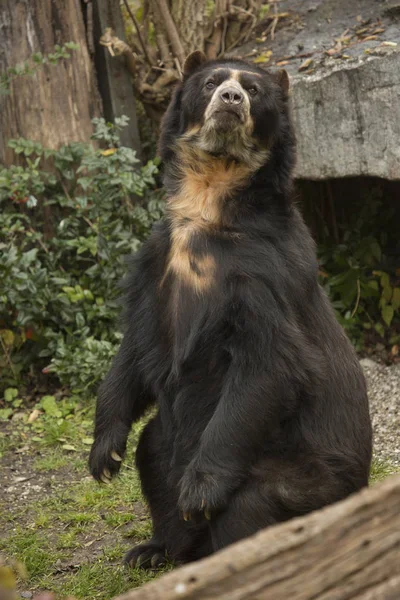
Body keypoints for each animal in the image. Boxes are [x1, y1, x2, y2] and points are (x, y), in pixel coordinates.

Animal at [89, 50, 374, 568]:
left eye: (253, 91)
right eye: (211, 83)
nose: (230, 99)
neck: (210, 195)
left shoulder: (263, 279)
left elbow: (269, 363)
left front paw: (199, 493)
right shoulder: (156, 268)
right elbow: (134, 351)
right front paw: (104, 456)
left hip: (300, 480)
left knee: (248, 506)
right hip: (168, 438)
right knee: (152, 457)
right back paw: (157, 550)